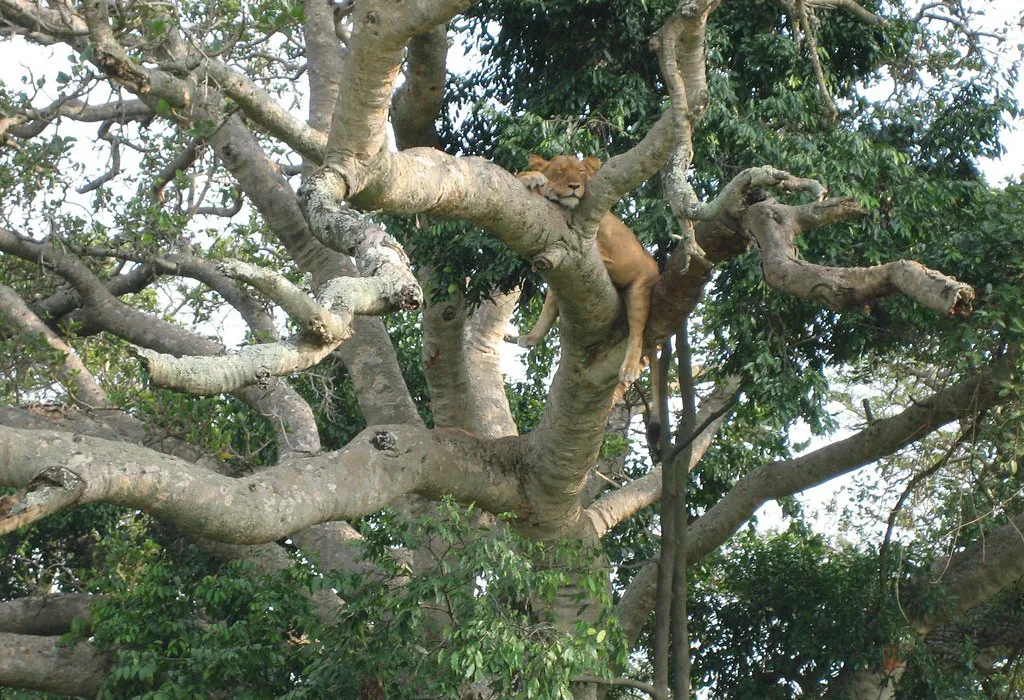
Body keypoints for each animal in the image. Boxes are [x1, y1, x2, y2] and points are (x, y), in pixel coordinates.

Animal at [511, 154, 661, 384]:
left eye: (581, 172)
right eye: (560, 171)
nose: (574, 186)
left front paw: (536, 181)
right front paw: (531, 177)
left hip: (640, 289)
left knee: (637, 331)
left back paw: (629, 368)